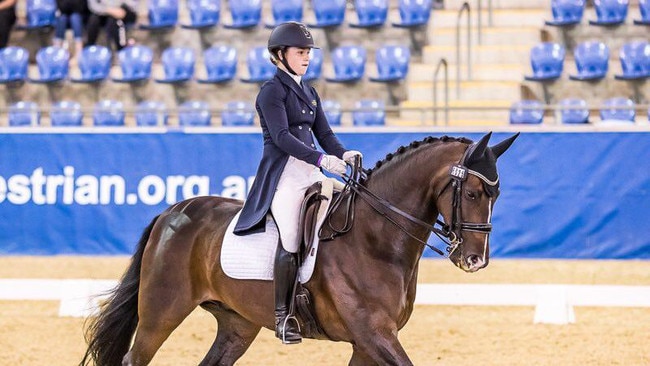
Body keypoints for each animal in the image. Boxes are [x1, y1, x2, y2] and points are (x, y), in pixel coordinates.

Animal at [79, 132, 516, 366]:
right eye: (472, 193)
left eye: (496, 195)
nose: (475, 260)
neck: (376, 241)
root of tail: (173, 211)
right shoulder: (375, 334)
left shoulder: (366, 343)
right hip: (162, 312)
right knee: (135, 357)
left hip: (237, 324)